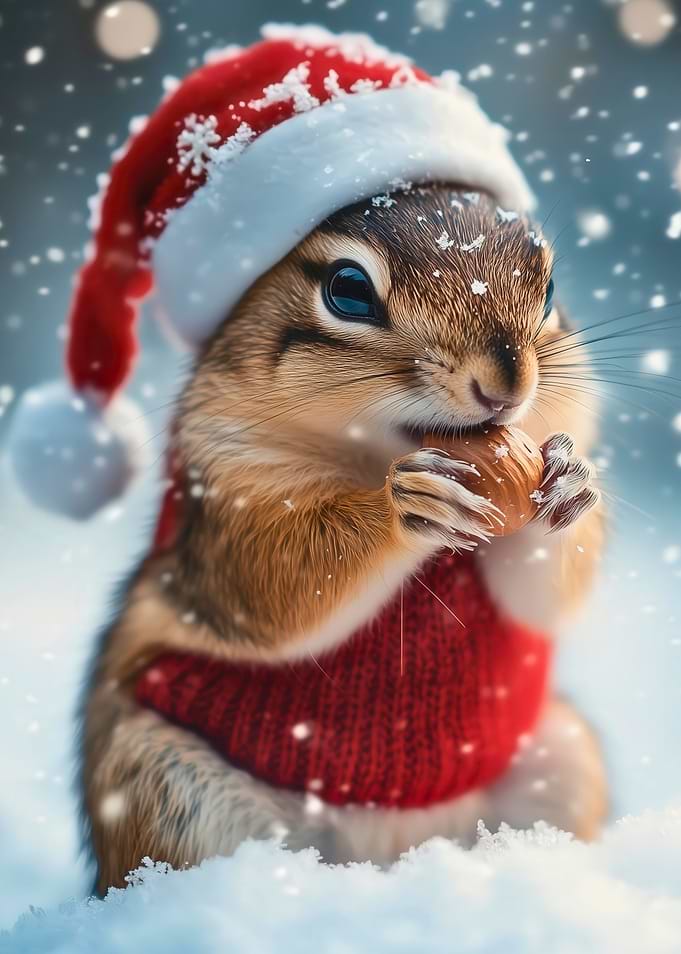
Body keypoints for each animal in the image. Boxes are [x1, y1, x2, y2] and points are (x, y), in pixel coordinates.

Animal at [1, 28, 606, 895]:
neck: (374, 450)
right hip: (169, 788)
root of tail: (388, 860)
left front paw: (571, 483)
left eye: (550, 284)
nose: (505, 383)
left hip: (561, 760)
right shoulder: (222, 497)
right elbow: (280, 581)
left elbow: (544, 599)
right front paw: (405, 504)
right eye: (348, 290)